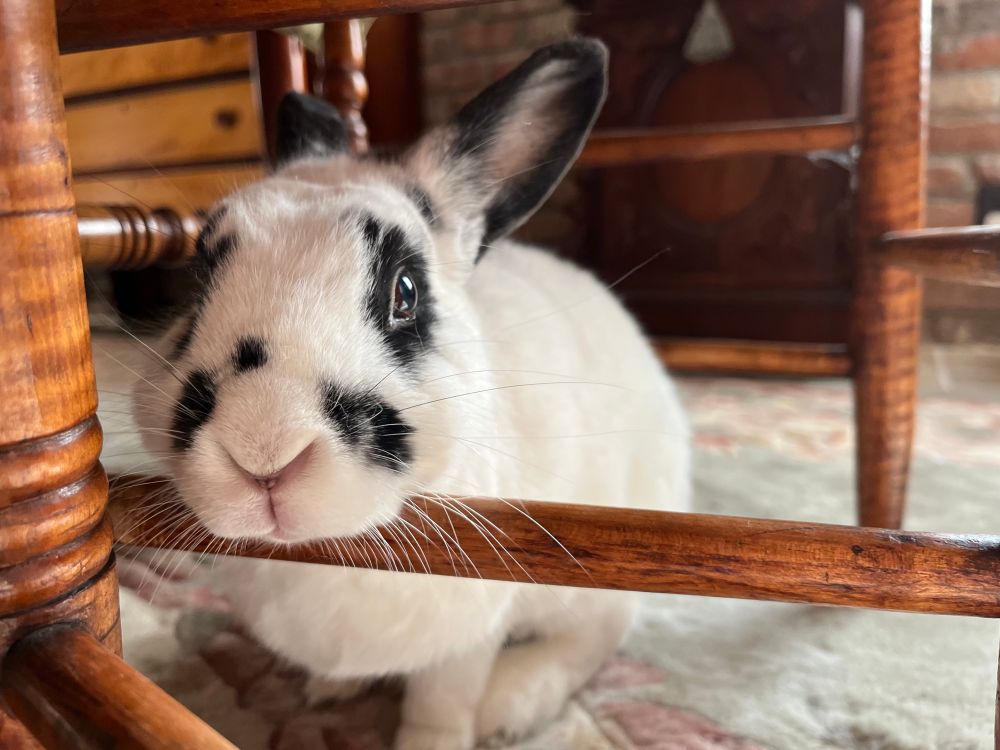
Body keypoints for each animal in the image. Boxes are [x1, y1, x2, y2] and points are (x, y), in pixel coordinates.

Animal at [131, 38, 690, 750]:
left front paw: (436, 736)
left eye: (405, 292)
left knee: (597, 636)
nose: (263, 450)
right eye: (196, 283)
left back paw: (513, 704)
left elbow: (439, 705)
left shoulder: (467, 640)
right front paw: (327, 691)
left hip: (595, 588)